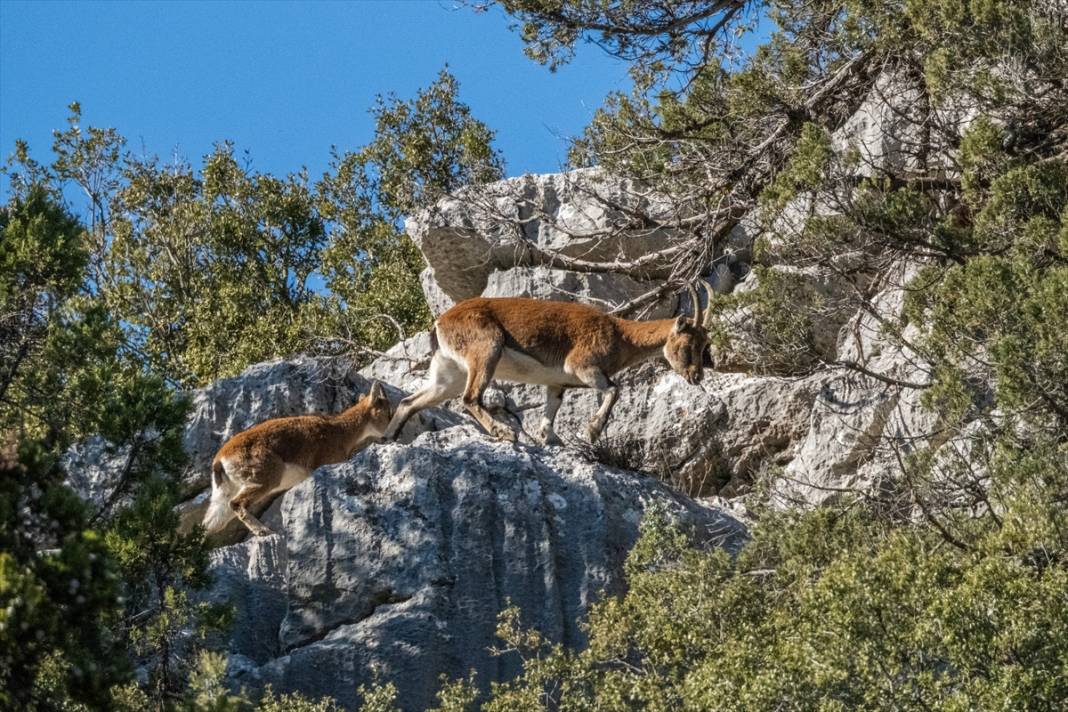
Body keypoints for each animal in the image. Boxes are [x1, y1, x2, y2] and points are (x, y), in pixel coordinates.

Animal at [203, 382, 393, 538]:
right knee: (236, 503)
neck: (341, 431)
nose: (389, 435)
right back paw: (263, 531)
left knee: (210, 523)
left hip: (224, 493)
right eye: (388, 413)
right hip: (264, 477)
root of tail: (220, 460)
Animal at [386, 281, 717, 441]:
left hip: (449, 372)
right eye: (689, 344)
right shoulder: (582, 366)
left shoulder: (557, 384)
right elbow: (614, 389)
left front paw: (553, 440)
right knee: (470, 398)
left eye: (706, 346)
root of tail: (441, 322)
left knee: (411, 401)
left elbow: (549, 416)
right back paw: (504, 432)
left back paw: (389, 436)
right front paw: (593, 430)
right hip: (486, 349)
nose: (696, 376)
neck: (621, 335)